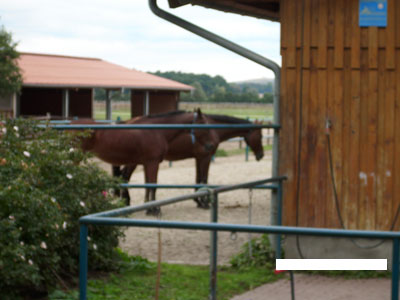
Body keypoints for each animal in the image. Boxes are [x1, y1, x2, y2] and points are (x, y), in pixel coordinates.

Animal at [72, 109, 219, 214]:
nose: (211, 145)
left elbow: (148, 185)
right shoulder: (153, 163)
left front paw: (148, 207)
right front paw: (154, 209)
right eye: (204, 125)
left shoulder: (147, 163)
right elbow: (153, 185)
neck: (157, 131)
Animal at [115, 115, 264, 209]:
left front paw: (198, 200)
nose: (261, 155)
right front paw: (204, 203)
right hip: (134, 161)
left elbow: (197, 179)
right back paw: (127, 201)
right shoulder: (205, 157)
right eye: (261, 135)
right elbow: (204, 179)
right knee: (125, 176)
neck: (213, 129)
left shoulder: (198, 158)